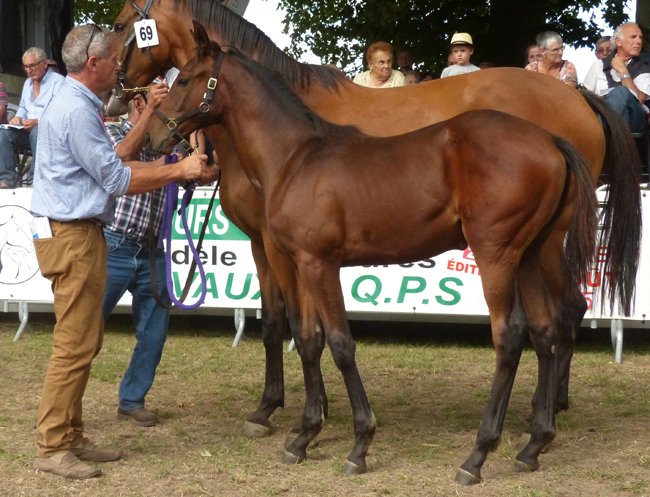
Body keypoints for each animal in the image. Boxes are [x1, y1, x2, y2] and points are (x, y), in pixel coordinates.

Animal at [111, 0, 642, 437]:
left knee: (553, 316)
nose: (123, 102)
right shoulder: (274, 247)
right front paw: (293, 411)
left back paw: (533, 416)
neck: (293, 146)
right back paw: (546, 413)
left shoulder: (284, 249)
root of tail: (576, 100)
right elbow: (286, 326)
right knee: (564, 312)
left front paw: (291, 413)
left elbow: (295, 326)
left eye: (119, 25)